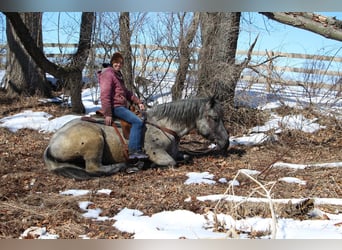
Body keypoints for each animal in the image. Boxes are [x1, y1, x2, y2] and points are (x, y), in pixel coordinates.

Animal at [42, 96, 230, 180]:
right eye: (214, 118)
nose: (226, 142)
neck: (162, 126)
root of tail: (52, 143)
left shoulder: (176, 153)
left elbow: (186, 157)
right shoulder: (159, 154)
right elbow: (171, 163)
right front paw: (147, 164)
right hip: (94, 140)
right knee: (94, 168)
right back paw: (126, 166)